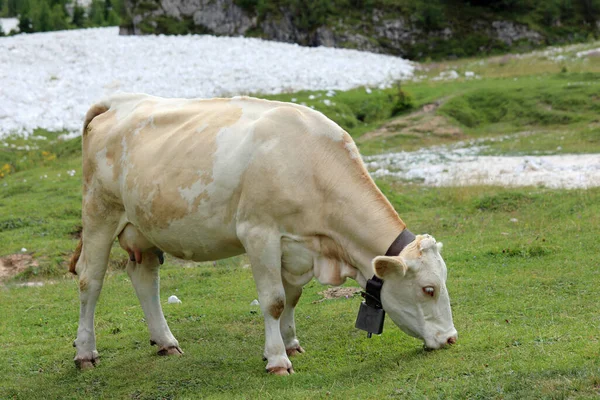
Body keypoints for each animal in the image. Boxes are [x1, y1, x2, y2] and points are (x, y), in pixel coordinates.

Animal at [69, 94, 454, 376]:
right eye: (428, 289)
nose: (451, 339)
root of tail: (119, 100)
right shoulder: (259, 234)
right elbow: (274, 300)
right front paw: (278, 360)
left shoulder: (296, 246)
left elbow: (293, 296)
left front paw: (291, 343)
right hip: (100, 212)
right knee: (90, 280)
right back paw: (86, 352)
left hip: (144, 225)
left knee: (144, 277)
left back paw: (165, 341)